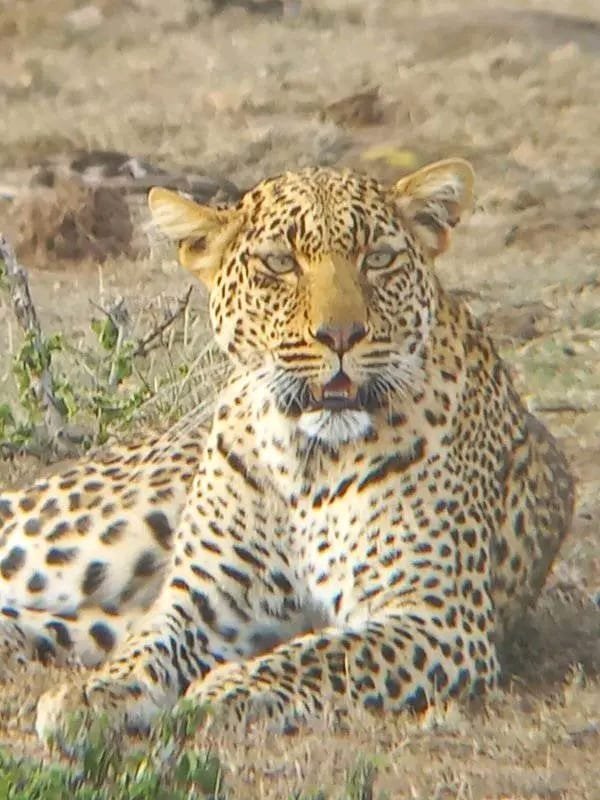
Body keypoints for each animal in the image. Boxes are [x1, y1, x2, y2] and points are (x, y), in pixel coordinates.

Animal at [0, 159, 573, 743]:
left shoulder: (437, 615)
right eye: (279, 264)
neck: (310, 461)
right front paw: (96, 691)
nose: (340, 335)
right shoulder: (202, 601)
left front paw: (225, 690)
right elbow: (147, 646)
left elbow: (325, 655)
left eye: (378, 259)